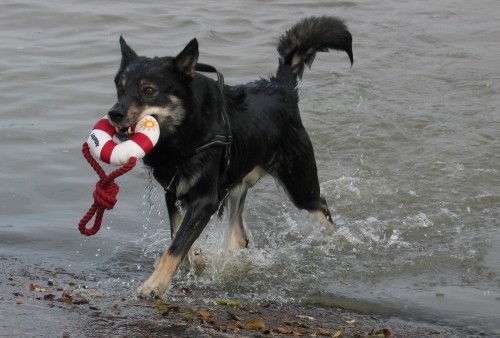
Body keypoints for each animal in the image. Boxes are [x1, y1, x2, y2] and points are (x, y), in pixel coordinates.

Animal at [107, 15, 354, 298]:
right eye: (120, 88)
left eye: (149, 90)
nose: (114, 113)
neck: (185, 132)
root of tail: (281, 87)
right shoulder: (173, 193)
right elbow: (178, 235)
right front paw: (196, 259)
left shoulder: (205, 199)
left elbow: (177, 245)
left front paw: (154, 284)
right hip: (237, 185)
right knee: (239, 237)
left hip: (300, 184)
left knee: (320, 204)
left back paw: (334, 239)